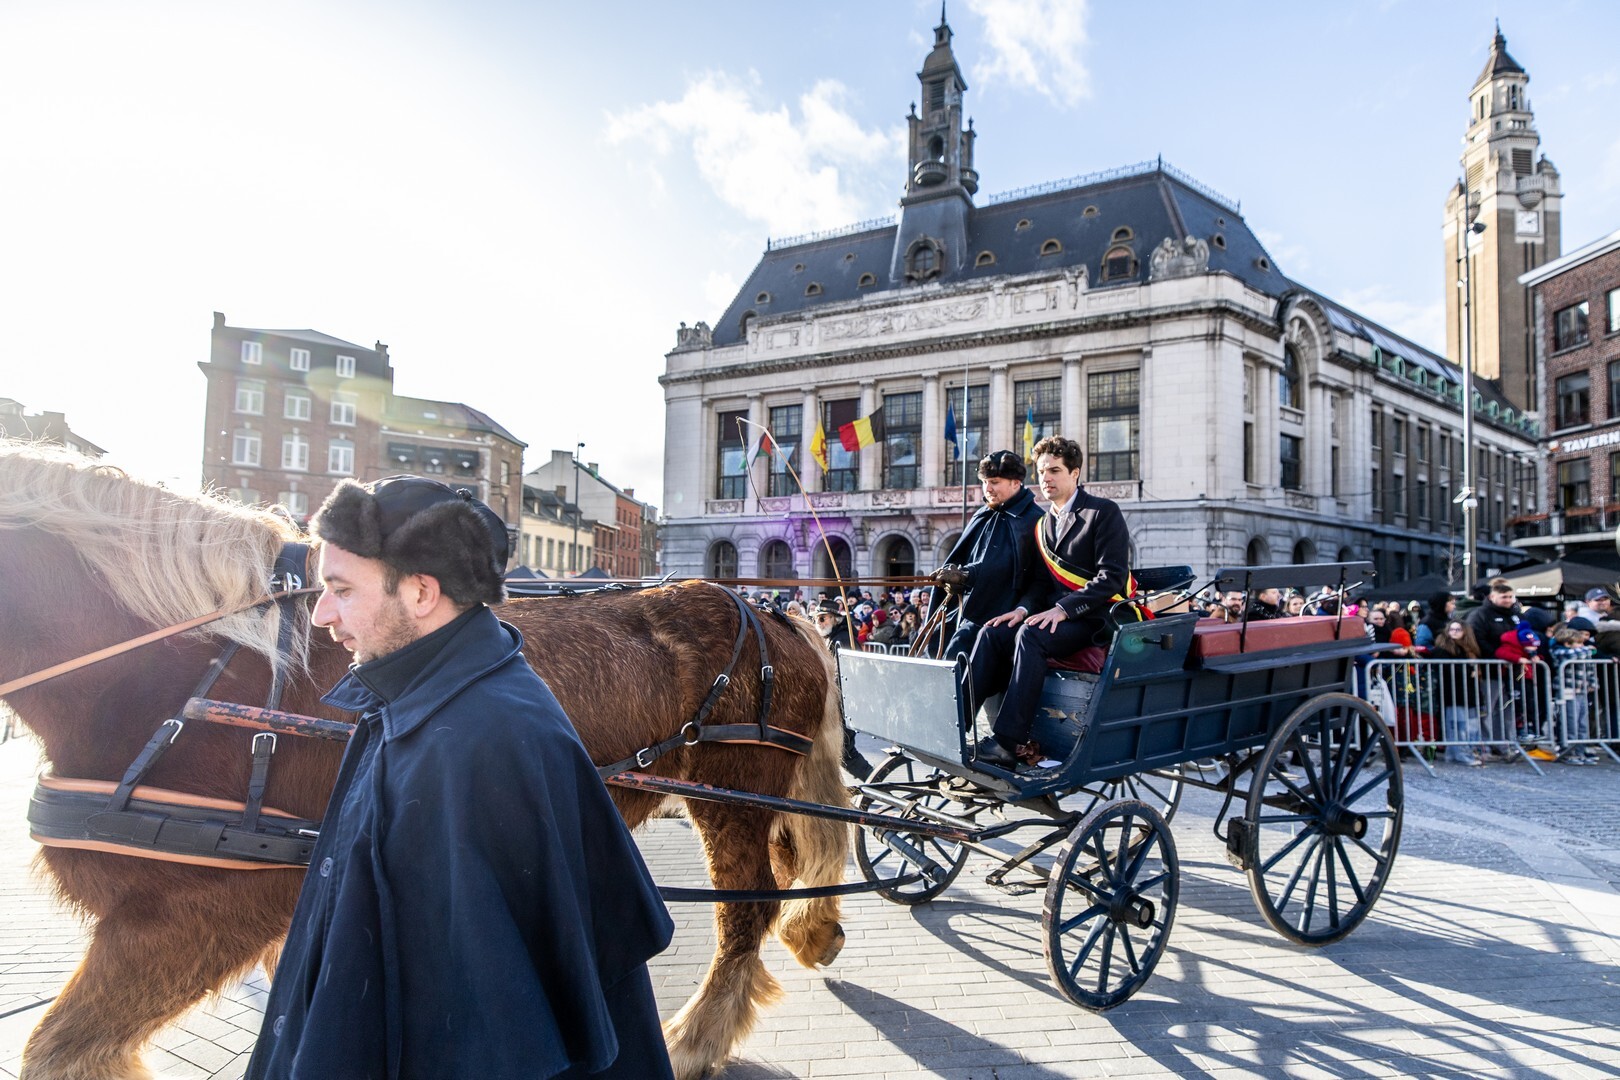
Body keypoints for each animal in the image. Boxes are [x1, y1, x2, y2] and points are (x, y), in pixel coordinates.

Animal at [0, 442, 850, 1080]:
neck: (198, 667)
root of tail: (777, 612)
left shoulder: (194, 909)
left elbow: (57, 1051)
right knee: (792, 862)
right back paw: (815, 929)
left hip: (728, 789)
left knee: (747, 907)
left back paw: (696, 1039)